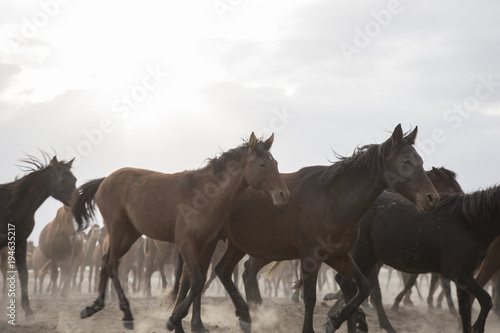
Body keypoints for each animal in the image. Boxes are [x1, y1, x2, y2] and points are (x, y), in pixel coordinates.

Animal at [0, 154, 76, 318]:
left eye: (74, 179)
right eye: (62, 180)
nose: (75, 203)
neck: (10, 205)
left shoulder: (20, 241)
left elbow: (23, 274)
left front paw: (28, 311)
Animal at [70, 132, 290, 330]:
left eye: (276, 163)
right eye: (262, 164)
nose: (283, 194)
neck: (205, 195)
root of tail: (105, 180)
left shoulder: (205, 245)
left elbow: (193, 281)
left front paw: (190, 323)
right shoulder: (186, 243)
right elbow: (196, 281)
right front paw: (174, 320)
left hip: (129, 235)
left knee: (106, 261)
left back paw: (93, 307)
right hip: (117, 230)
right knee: (112, 263)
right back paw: (126, 314)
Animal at [210, 124, 438, 332]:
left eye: (420, 161)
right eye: (406, 161)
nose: (431, 198)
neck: (332, 201)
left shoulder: (339, 257)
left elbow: (363, 288)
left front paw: (335, 320)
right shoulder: (310, 258)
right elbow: (310, 298)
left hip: (241, 246)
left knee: (224, 271)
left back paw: (246, 316)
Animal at [336, 180, 500, 330]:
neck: (469, 223)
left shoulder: (464, 277)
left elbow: (467, 312)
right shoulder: (459, 273)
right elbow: (485, 300)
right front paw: (477, 326)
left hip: (370, 257)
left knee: (354, 285)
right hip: (361, 252)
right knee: (349, 283)